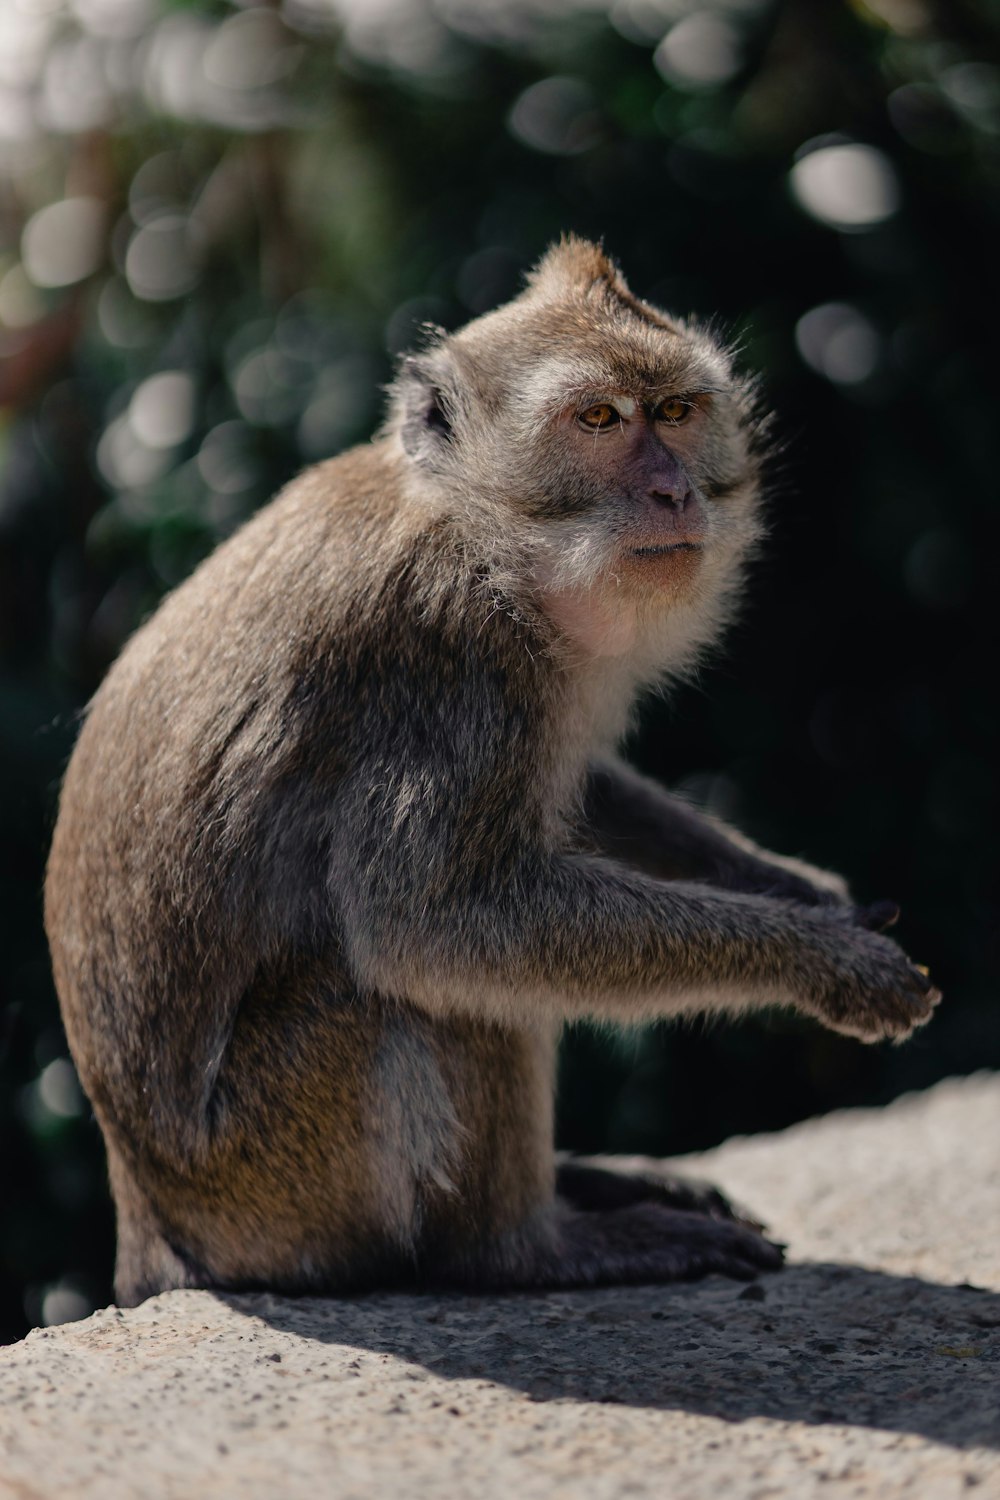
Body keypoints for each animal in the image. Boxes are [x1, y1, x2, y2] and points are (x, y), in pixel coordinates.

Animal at [44, 234, 941, 1302]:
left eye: (677, 413)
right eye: (598, 419)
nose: (674, 490)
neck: (485, 534)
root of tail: (153, 1225)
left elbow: (584, 787)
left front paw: (800, 889)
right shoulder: (450, 662)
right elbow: (436, 923)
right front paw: (820, 959)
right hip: (282, 1179)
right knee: (421, 978)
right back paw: (532, 1248)